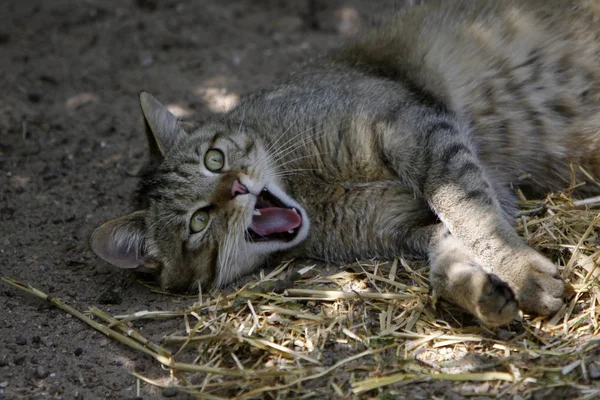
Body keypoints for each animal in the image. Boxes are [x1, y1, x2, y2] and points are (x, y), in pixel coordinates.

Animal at [90, 0, 600, 324]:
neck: (311, 191)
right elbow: (448, 251)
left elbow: (470, 212)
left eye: (214, 160)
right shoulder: (409, 226)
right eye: (197, 222)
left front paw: (522, 273)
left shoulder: (415, 128)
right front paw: (480, 292)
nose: (237, 186)